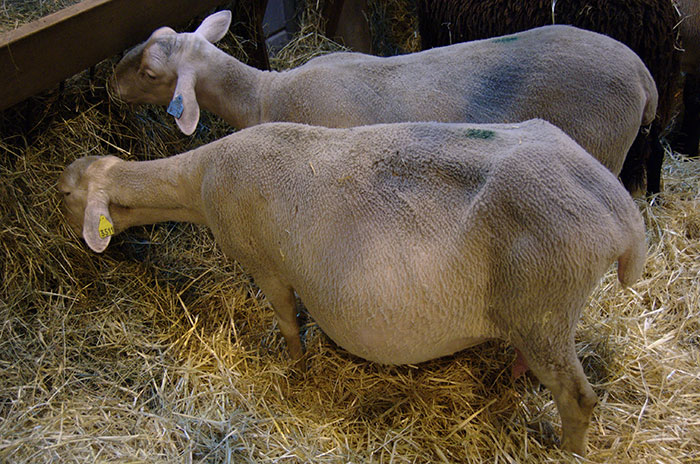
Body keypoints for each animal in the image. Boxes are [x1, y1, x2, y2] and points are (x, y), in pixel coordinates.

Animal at [58, 119, 646, 455]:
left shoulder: (265, 263)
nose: (62, 236)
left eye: (65, 194)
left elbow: (285, 315)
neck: (197, 180)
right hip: (539, 311)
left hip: (546, 298)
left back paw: (569, 450)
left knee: (578, 398)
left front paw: (293, 363)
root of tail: (617, 207)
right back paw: (515, 374)